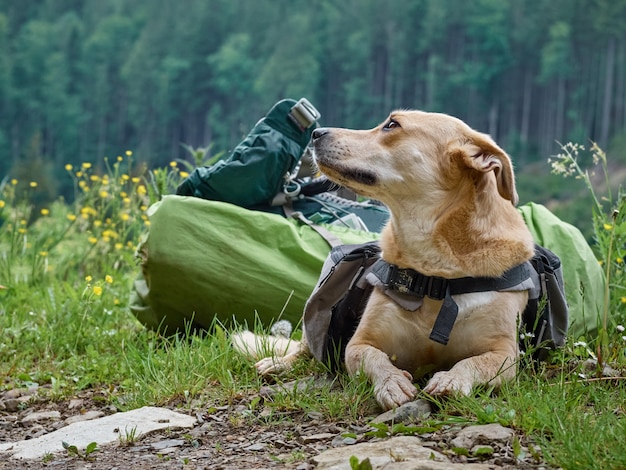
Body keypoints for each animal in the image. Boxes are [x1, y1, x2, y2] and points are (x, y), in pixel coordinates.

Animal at [232, 111, 532, 412]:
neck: (435, 275)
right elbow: (371, 358)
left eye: (392, 124)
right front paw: (391, 383)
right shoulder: (360, 342)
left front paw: (452, 380)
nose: (316, 133)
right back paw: (278, 364)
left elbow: (475, 362)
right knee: (304, 349)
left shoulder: (504, 353)